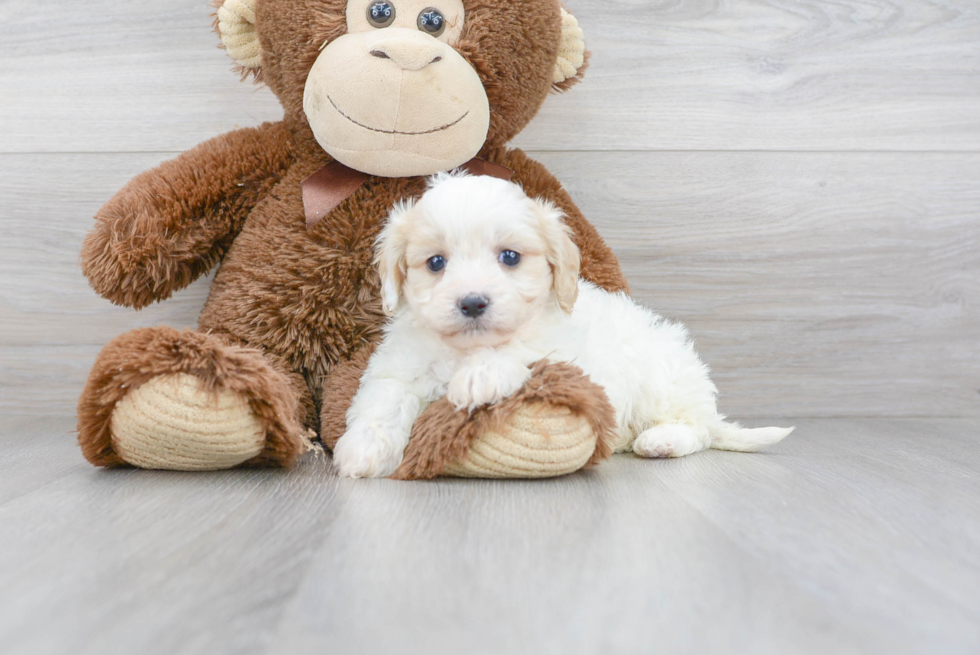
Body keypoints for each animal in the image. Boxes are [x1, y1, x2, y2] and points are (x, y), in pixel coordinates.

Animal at [334, 174, 792, 480]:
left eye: (510, 257)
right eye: (435, 263)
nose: (473, 302)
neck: (465, 347)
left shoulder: (562, 349)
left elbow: (520, 350)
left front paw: (480, 376)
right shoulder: (399, 362)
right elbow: (383, 399)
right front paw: (363, 450)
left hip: (661, 380)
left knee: (697, 430)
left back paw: (661, 441)